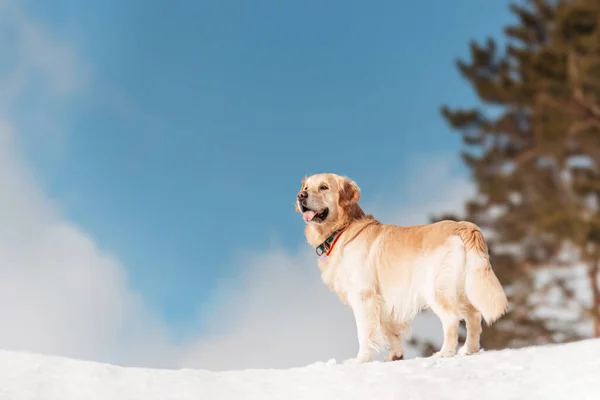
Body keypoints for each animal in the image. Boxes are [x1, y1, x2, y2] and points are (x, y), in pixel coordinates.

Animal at [296, 173, 506, 364]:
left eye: (323, 187)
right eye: (306, 187)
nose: (301, 196)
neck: (342, 230)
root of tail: (463, 226)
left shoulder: (364, 296)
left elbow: (364, 332)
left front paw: (360, 360)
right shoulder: (383, 301)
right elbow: (390, 332)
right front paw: (395, 356)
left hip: (436, 289)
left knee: (452, 319)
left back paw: (445, 353)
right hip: (462, 287)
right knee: (474, 315)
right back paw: (469, 350)